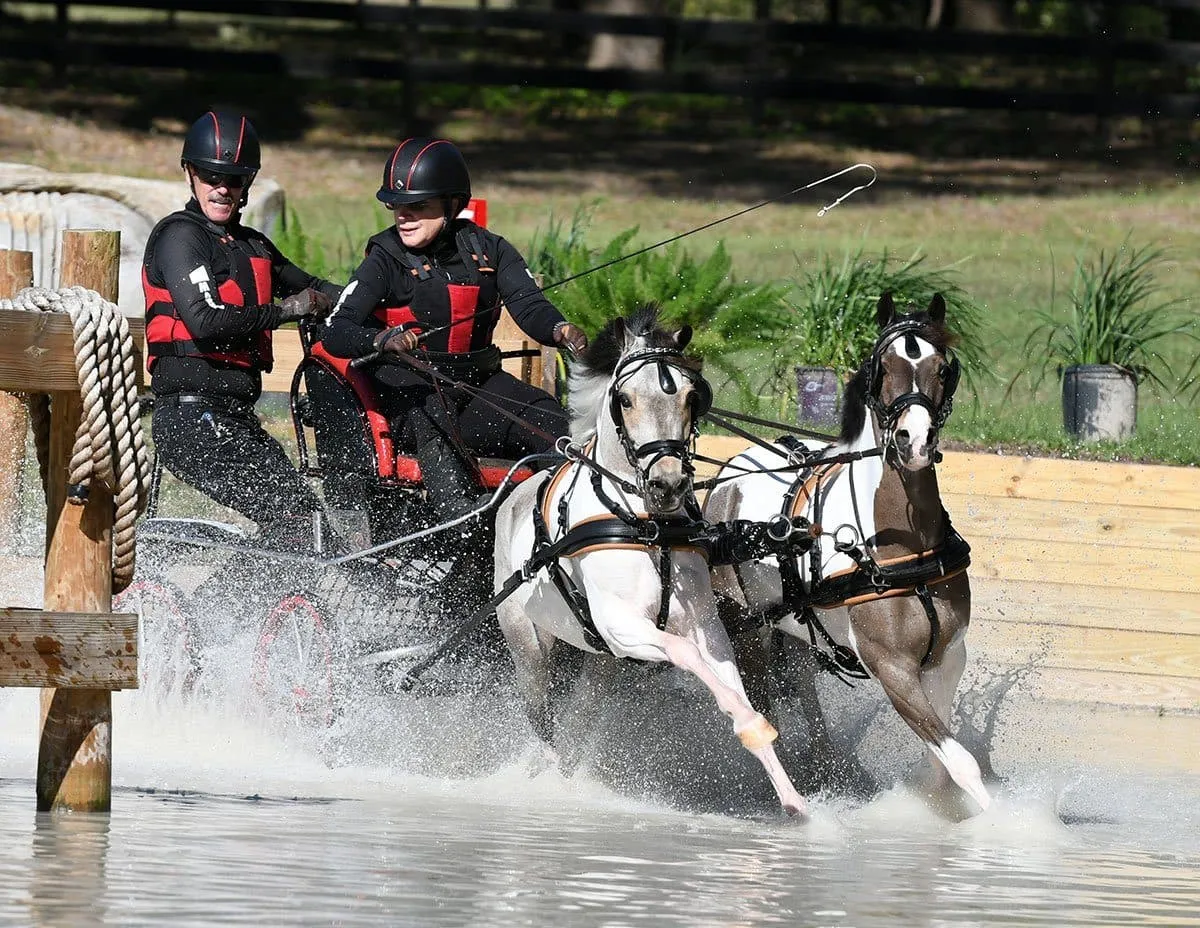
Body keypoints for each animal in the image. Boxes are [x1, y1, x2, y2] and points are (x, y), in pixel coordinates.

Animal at [700, 292, 988, 816]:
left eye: (942, 369)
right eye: (883, 367)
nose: (914, 442)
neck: (900, 548)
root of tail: (729, 473)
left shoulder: (948, 656)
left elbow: (944, 760)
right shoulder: (890, 666)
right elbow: (959, 762)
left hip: (794, 630)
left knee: (805, 696)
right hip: (748, 633)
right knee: (762, 709)